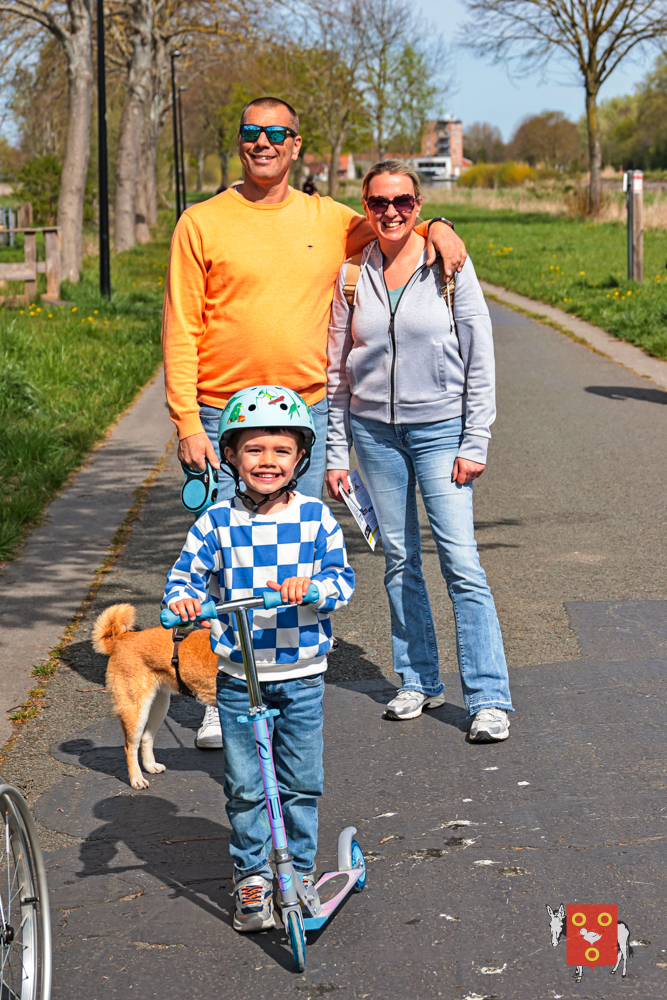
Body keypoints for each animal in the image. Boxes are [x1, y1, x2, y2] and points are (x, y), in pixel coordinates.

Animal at [92, 604, 218, 789]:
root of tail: (122, 638)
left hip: (159, 707)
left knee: (146, 738)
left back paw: (150, 766)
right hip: (137, 711)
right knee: (130, 747)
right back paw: (136, 779)